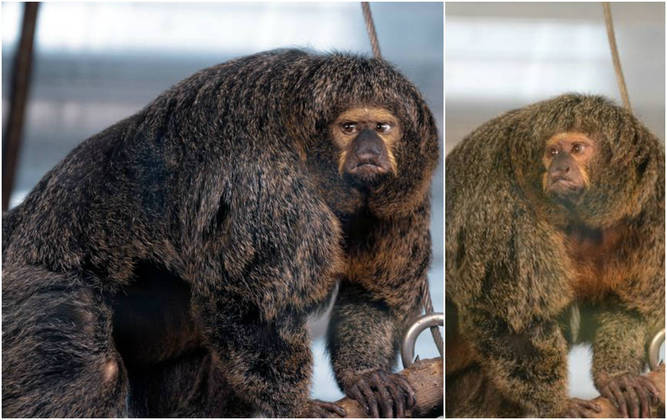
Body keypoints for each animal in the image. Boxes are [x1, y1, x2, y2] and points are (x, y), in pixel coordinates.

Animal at [2, 48, 440, 416]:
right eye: (349, 128)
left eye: (382, 127)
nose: (369, 151)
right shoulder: (269, 186)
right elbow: (251, 304)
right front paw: (294, 406)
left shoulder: (407, 201)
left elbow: (373, 294)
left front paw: (363, 376)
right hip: (29, 288)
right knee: (90, 366)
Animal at [446, 94, 664, 416]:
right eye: (553, 152)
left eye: (577, 149)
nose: (560, 168)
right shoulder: (501, 205)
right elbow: (513, 323)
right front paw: (557, 405)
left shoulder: (652, 206)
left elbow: (629, 305)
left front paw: (616, 377)